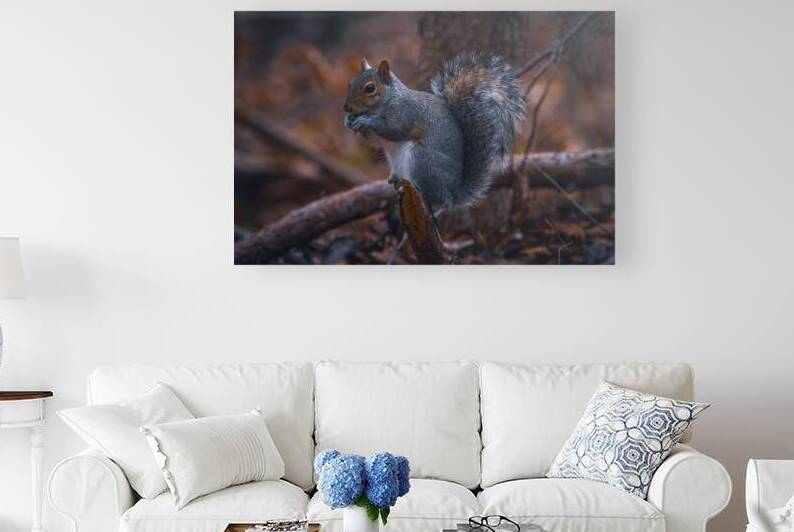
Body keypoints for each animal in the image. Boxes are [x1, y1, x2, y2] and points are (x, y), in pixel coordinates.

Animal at [343, 52, 526, 212]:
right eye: (350, 84)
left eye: (370, 88)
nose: (347, 108)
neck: (390, 99)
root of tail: (451, 194)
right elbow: (374, 140)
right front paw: (348, 121)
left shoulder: (406, 111)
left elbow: (394, 128)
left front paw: (366, 120)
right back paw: (395, 180)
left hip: (423, 161)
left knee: (433, 199)